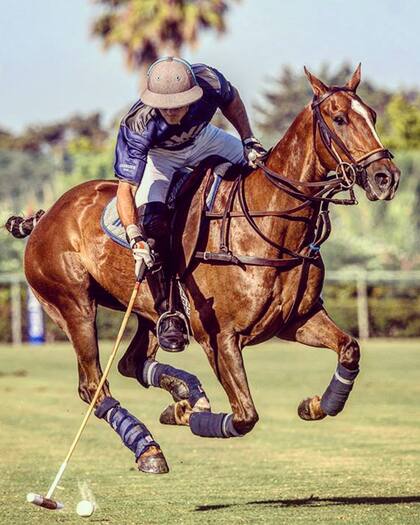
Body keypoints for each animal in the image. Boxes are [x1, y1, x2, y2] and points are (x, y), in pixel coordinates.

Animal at [6, 66, 400, 470]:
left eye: (372, 115)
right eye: (339, 118)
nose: (386, 178)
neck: (269, 222)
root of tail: (44, 217)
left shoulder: (296, 319)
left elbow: (350, 348)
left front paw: (315, 404)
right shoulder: (220, 336)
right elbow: (245, 416)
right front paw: (187, 417)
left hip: (146, 311)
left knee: (132, 362)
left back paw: (185, 390)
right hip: (73, 306)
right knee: (93, 386)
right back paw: (149, 446)